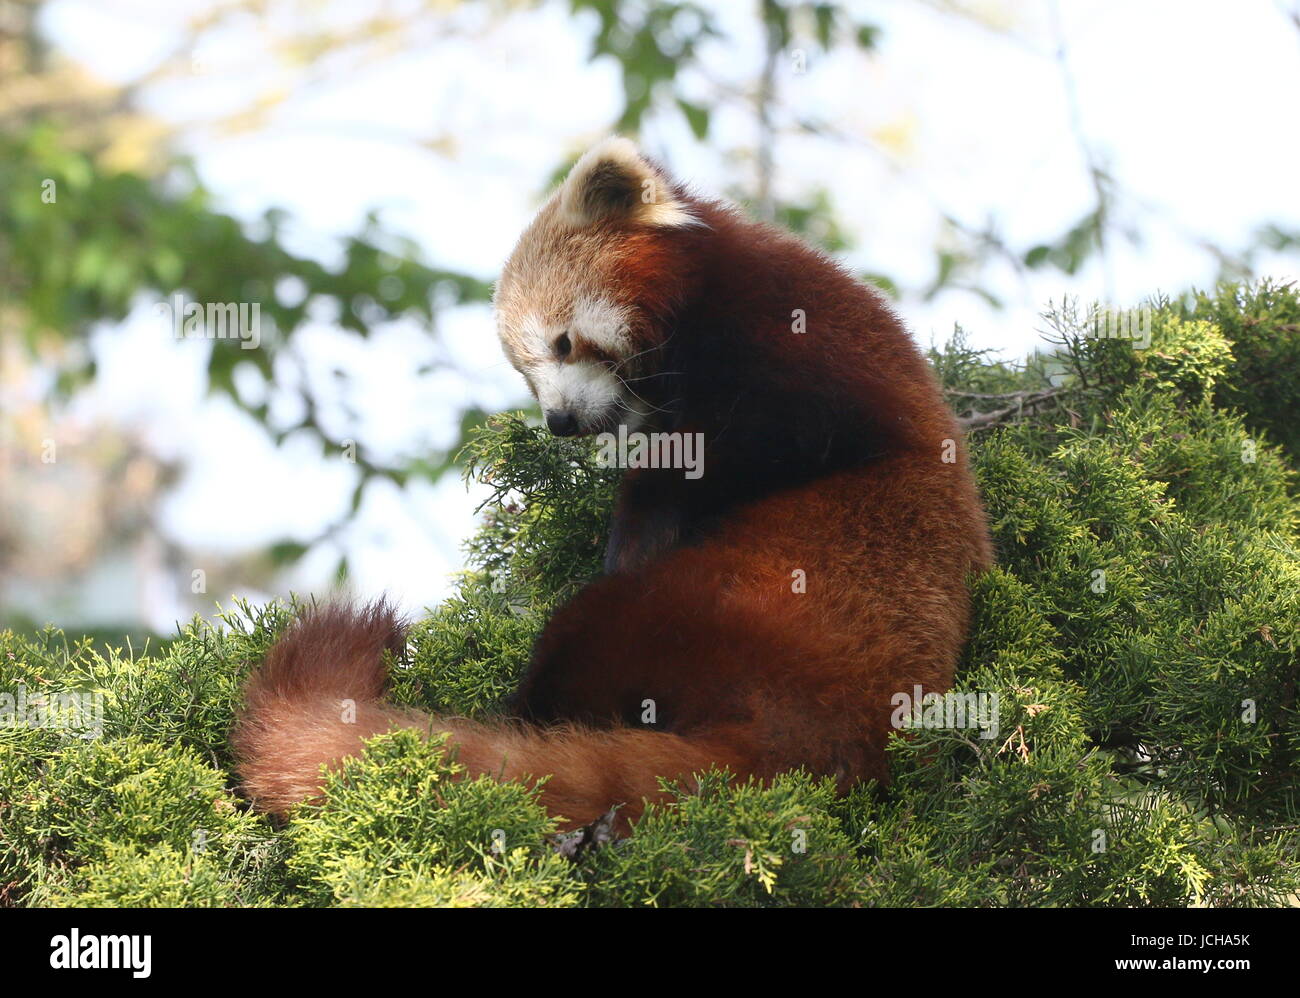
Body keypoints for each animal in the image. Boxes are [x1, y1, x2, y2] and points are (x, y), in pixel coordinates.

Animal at [233, 134, 987, 831]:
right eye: (526, 371)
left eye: (564, 342)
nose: (561, 421)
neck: (701, 300)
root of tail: (827, 734)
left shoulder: (799, 343)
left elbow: (760, 444)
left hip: (731, 608)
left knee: (594, 631)